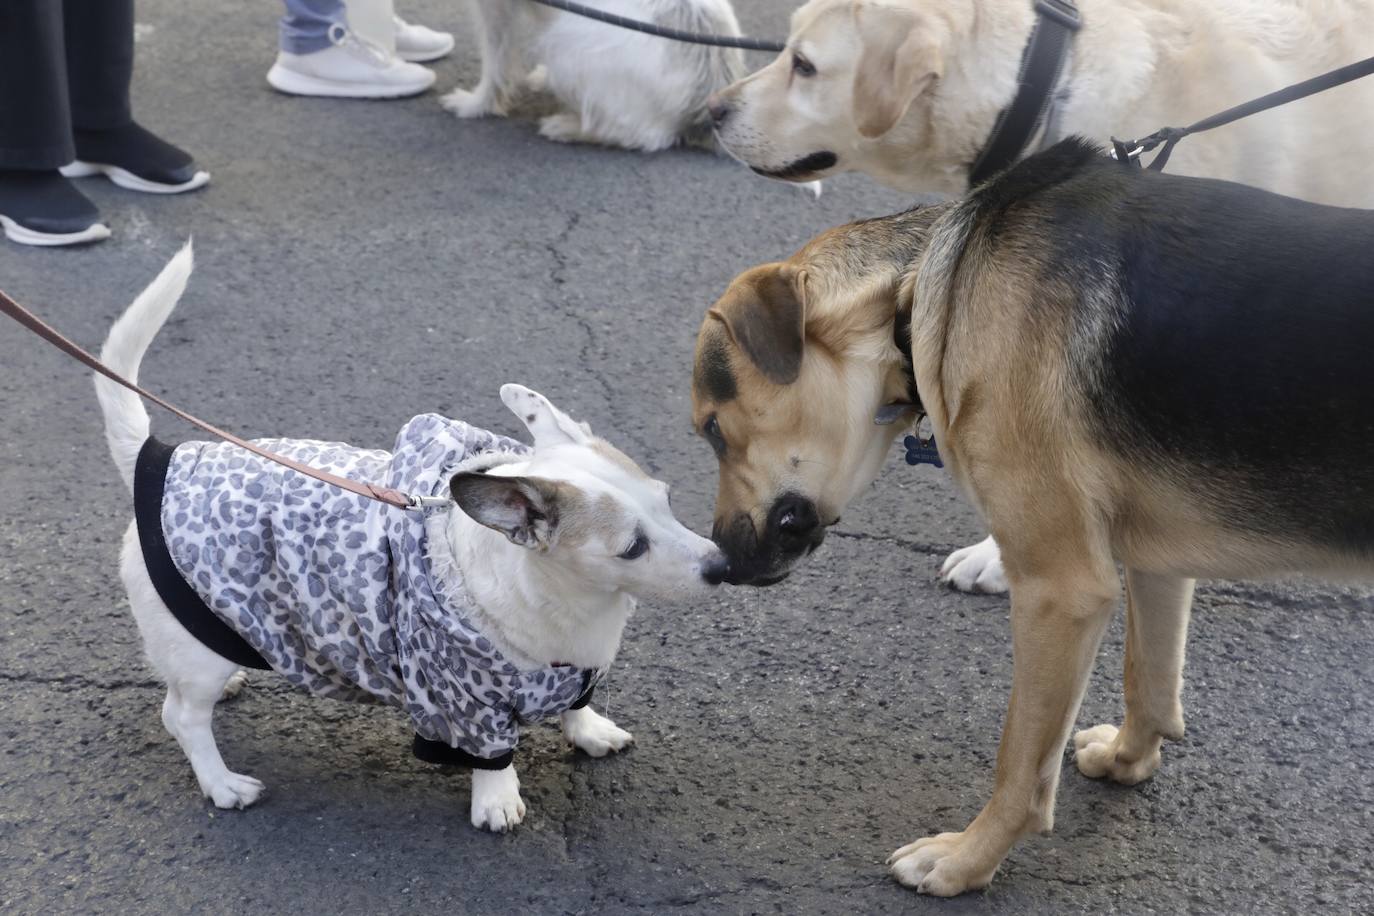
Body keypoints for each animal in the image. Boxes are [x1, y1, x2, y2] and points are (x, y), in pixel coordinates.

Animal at [94, 247, 730, 834]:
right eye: (632, 547)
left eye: (667, 501)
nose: (723, 566)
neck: (577, 607)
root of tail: (154, 456)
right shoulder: (466, 701)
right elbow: (492, 757)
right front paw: (497, 800)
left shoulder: (573, 672)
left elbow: (576, 706)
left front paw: (590, 731)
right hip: (196, 656)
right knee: (181, 716)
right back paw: (222, 783)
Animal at [439, 0, 741, 150]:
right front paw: (541, 79)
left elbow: (495, 57)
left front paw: (476, 105)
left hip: (566, 44)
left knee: (647, 137)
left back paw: (568, 128)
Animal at [692, 140, 1374, 900]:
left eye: (712, 430)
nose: (720, 563)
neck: (921, 285)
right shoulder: (1155, 563)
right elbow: (1149, 678)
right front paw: (1131, 759)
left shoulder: (1060, 591)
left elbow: (1019, 764)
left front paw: (966, 860)